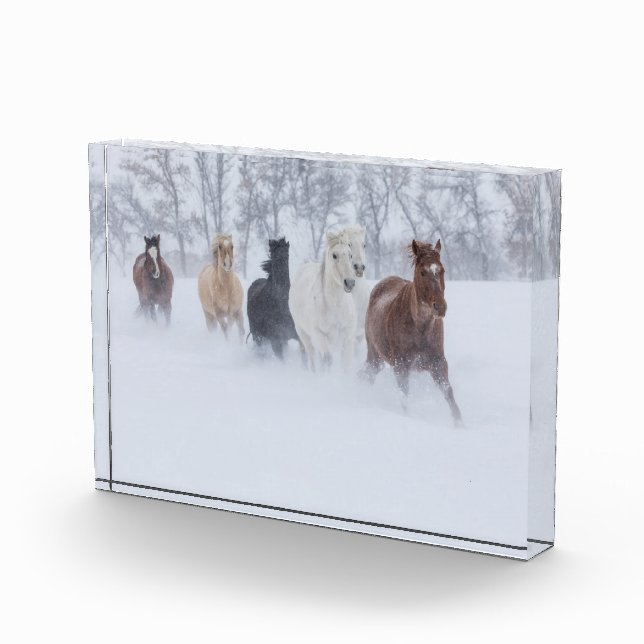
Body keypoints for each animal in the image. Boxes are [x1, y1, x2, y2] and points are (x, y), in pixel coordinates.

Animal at [289, 230, 357, 371]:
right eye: (334, 255)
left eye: (350, 255)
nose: (350, 282)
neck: (335, 305)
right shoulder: (319, 335)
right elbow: (327, 360)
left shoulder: (348, 338)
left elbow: (346, 364)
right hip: (304, 335)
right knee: (313, 358)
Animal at [362, 239, 462, 425]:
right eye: (422, 272)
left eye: (442, 270)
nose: (440, 307)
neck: (420, 328)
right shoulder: (401, 365)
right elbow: (404, 397)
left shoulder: (438, 362)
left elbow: (448, 393)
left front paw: (460, 424)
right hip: (375, 355)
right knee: (366, 376)